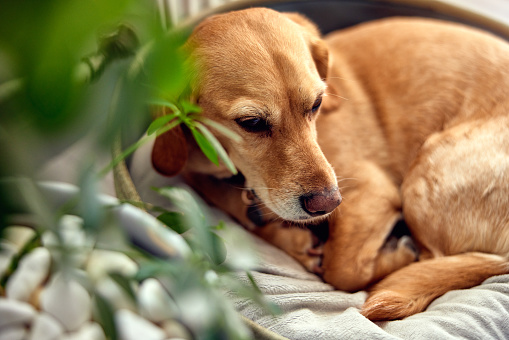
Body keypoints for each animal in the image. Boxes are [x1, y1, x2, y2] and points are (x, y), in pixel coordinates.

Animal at [150, 8, 508, 322]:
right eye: (251, 122)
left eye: (317, 103)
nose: (328, 203)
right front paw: (293, 240)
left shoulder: (372, 193)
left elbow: (343, 269)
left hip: (426, 177)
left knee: (431, 259)